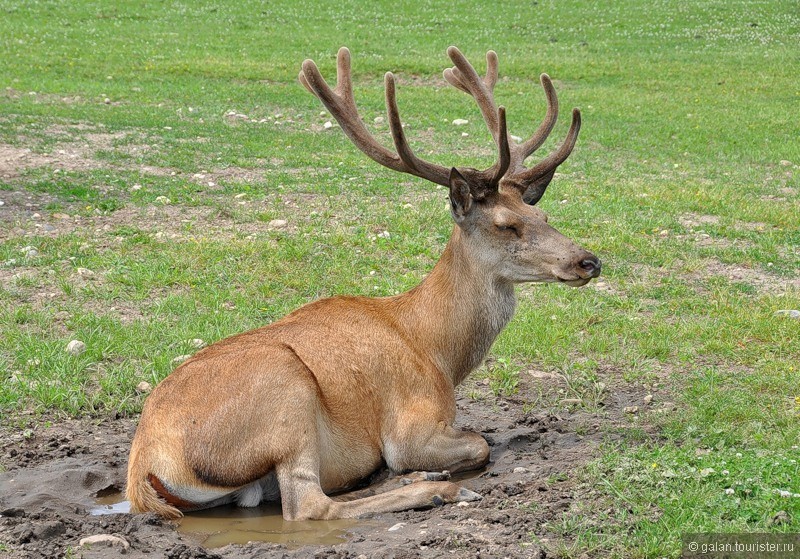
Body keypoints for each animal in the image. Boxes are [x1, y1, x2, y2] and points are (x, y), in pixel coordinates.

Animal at [126, 46, 600, 524]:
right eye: (506, 225)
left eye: (541, 215)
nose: (588, 260)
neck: (436, 351)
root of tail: (144, 471)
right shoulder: (411, 425)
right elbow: (480, 442)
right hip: (286, 393)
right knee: (308, 505)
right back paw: (438, 489)